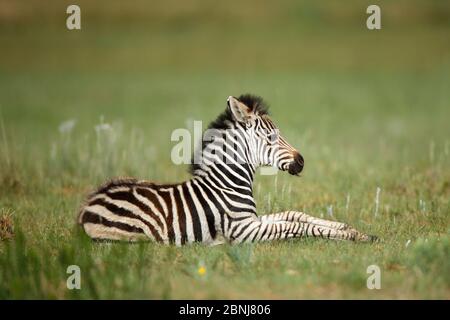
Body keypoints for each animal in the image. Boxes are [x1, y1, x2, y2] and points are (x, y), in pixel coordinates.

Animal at [78, 94, 376, 244]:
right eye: (271, 138)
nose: (302, 161)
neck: (227, 183)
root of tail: (87, 205)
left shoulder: (252, 220)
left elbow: (295, 215)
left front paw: (353, 230)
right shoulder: (242, 230)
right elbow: (294, 227)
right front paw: (350, 236)